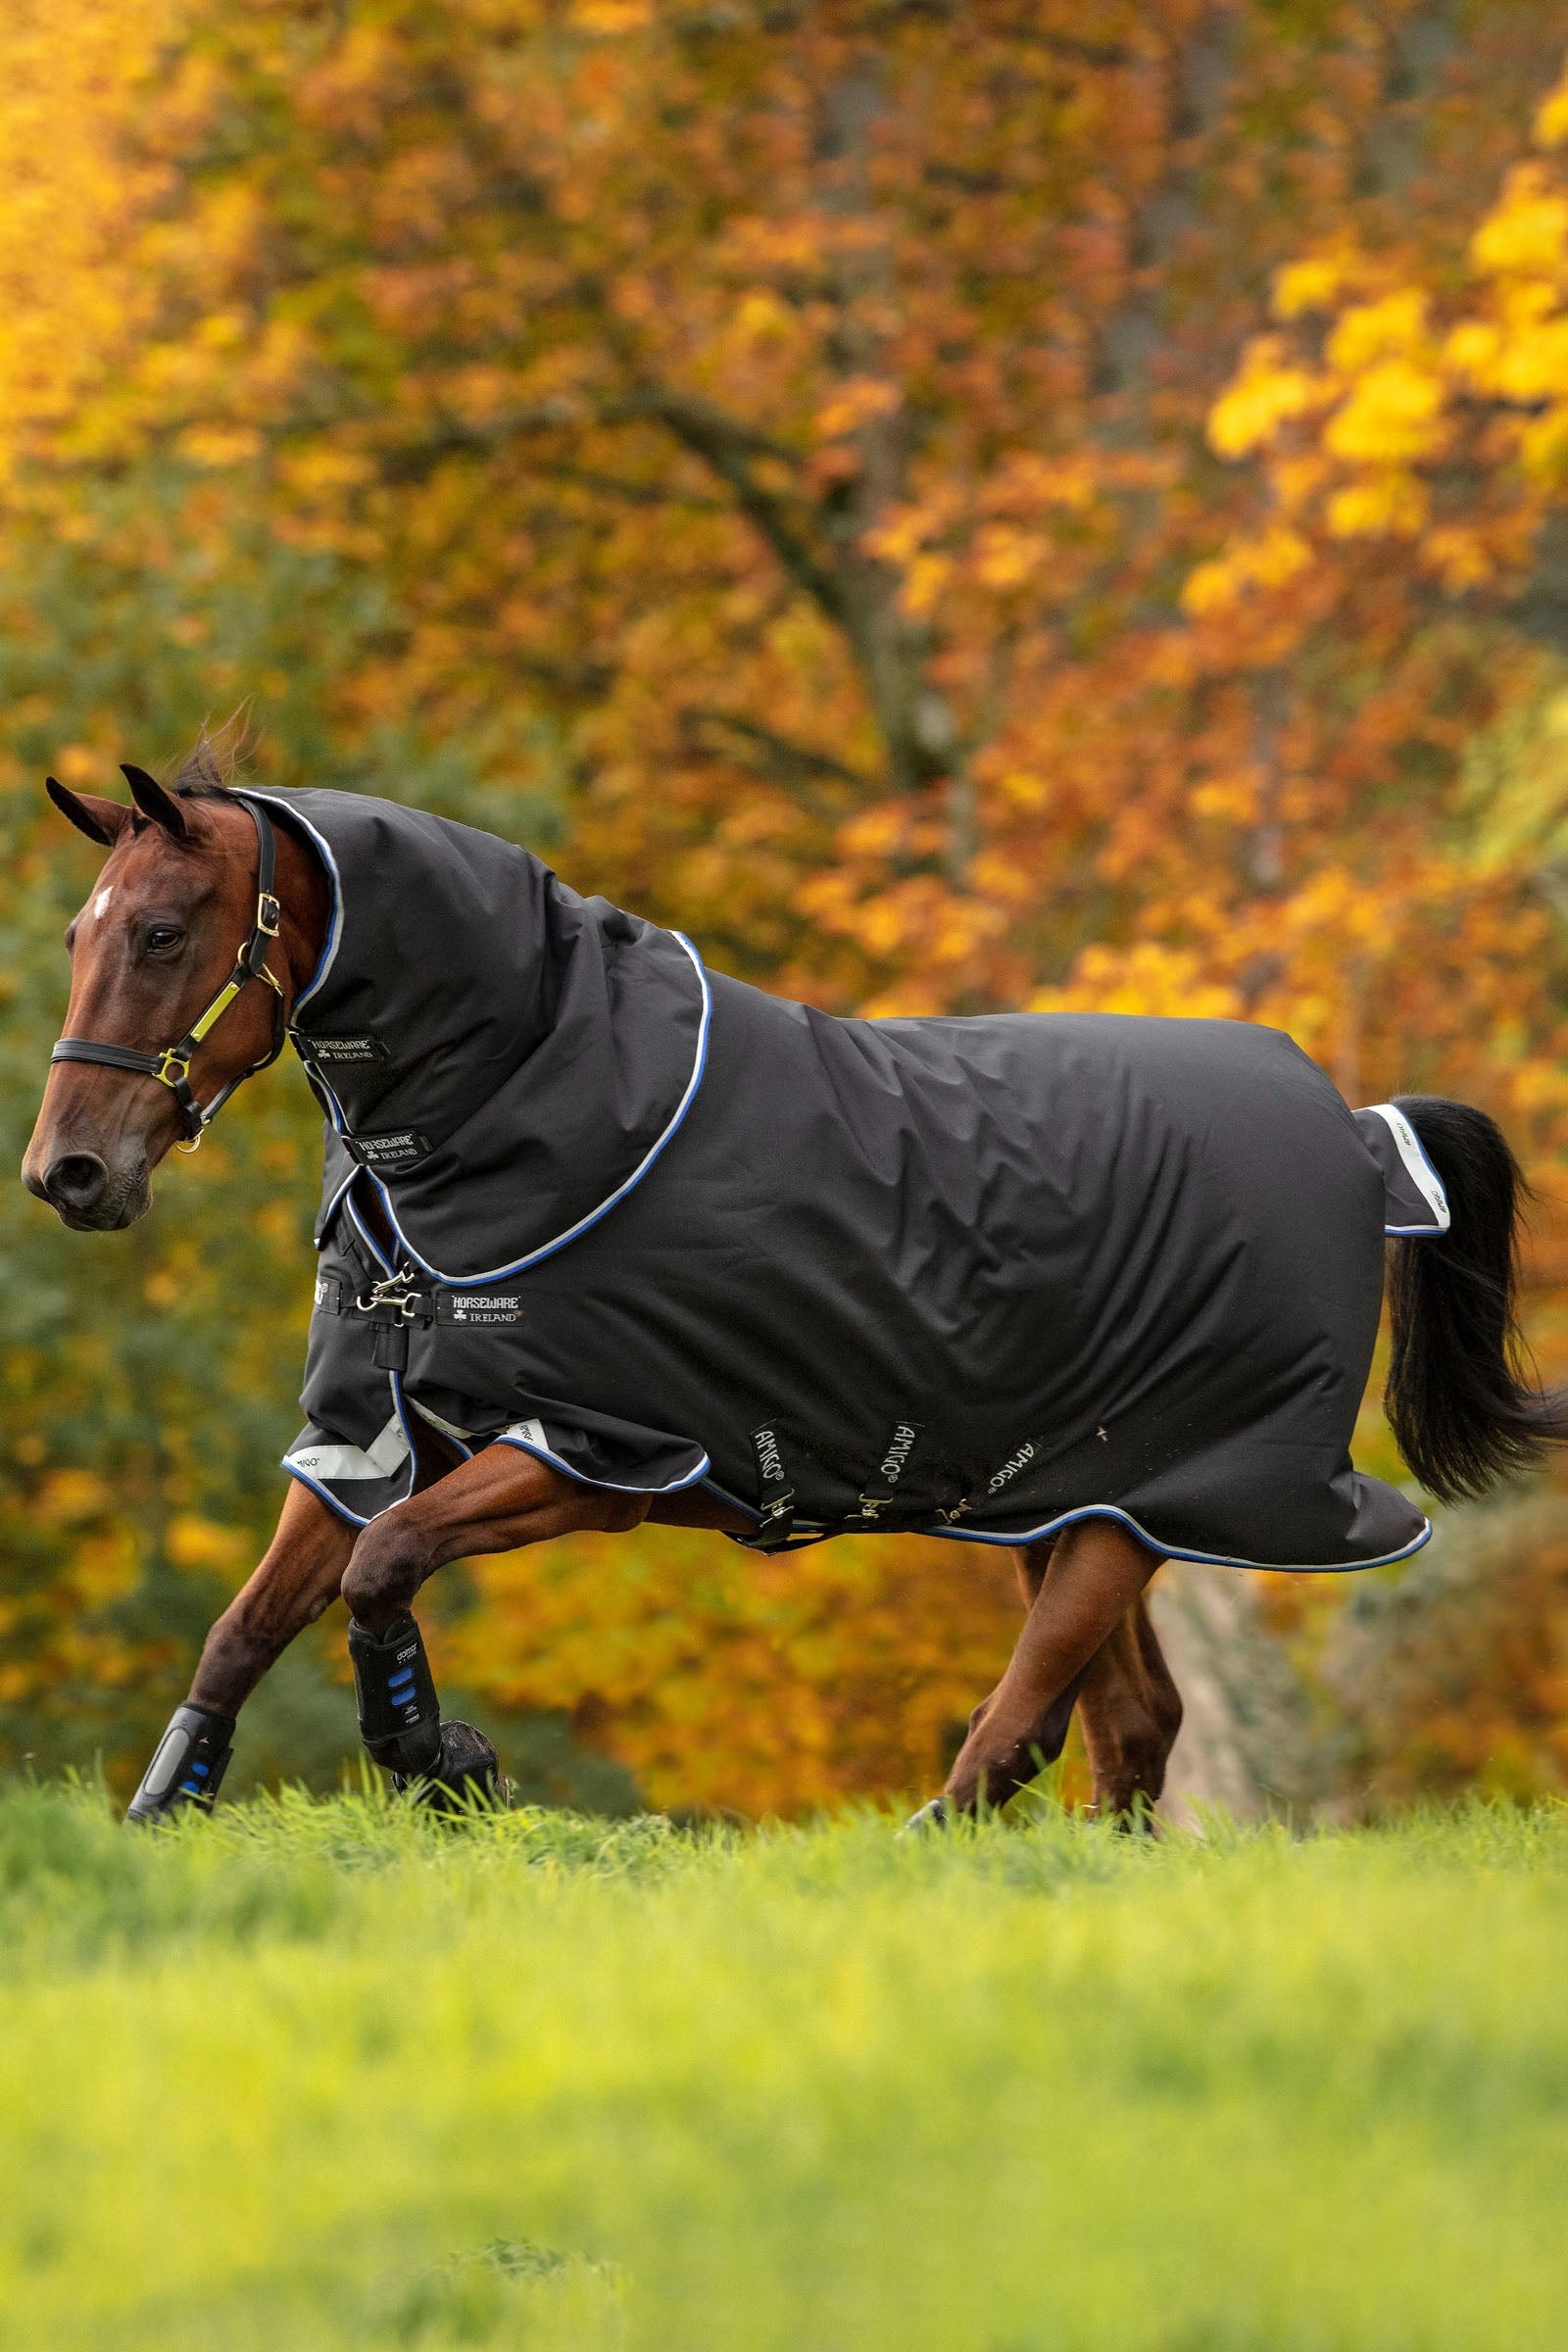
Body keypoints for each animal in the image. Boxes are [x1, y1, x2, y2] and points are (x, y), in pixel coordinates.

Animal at [22, 752, 1568, 1825]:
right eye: (78, 936)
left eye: (163, 932)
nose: (68, 1173)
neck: (522, 1104)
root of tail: (1357, 1134)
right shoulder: (372, 1434)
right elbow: (247, 1624)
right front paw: (169, 1806)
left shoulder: (599, 1455)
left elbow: (384, 1568)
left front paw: (440, 1760)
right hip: (1073, 1501)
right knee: (1130, 1726)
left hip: (1166, 1496)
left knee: (1022, 1727)